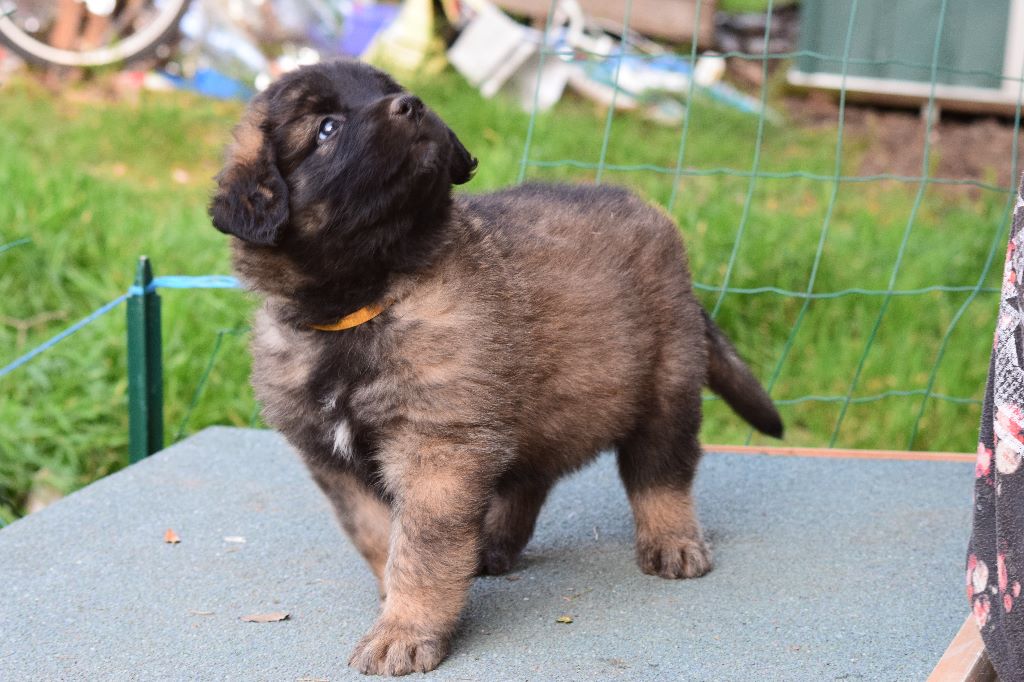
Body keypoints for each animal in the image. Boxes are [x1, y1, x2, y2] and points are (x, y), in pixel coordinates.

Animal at [209, 59, 782, 675]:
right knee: (530, 476)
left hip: (666, 383)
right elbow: (379, 537)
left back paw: (671, 541)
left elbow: (421, 549)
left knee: (661, 473)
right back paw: (491, 545)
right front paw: (398, 603)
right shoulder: (336, 461)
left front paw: (404, 630)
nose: (413, 105)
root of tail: (654, 216)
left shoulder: (437, 447)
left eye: (389, 91)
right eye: (326, 128)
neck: (367, 301)